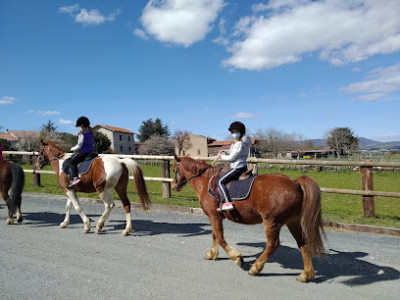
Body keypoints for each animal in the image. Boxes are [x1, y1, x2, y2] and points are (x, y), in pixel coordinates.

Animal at [172, 156, 324, 282]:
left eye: (174, 169)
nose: (174, 186)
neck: (206, 181)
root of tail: (295, 183)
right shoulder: (214, 217)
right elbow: (215, 236)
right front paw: (212, 254)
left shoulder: (214, 216)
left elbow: (220, 238)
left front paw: (237, 258)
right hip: (292, 222)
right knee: (302, 244)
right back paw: (305, 274)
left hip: (271, 222)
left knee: (273, 244)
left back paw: (255, 268)